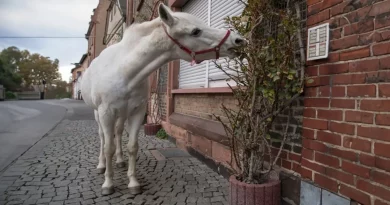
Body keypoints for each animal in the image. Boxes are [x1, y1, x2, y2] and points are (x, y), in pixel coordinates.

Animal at [80, 3, 245, 195]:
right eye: (195, 31)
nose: (238, 40)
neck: (125, 71)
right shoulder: (106, 113)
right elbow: (108, 147)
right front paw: (108, 183)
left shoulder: (137, 112)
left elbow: (132, 146)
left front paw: (133, 182)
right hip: (98, 114)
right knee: (102, 137)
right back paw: (101, 165)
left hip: (121, 114)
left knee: (119, 132)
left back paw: (120, 161)